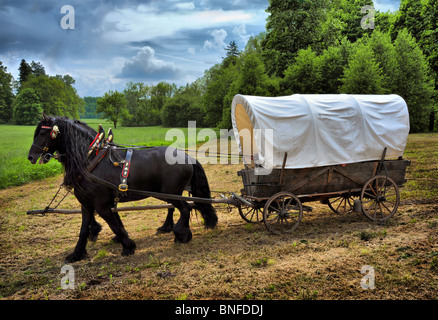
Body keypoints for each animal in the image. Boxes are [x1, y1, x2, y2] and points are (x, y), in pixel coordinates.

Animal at [27, 115, 217, 262]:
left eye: (43, 132)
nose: (30, 157)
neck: (91, 158)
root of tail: (188, 157)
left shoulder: (101, 205)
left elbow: (114, 225)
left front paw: (128, 246)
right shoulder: (87, 204)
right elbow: (85, 229)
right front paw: (77, 254)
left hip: (170, 194)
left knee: (185, 208)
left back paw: (181, 234)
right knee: (184, 207)